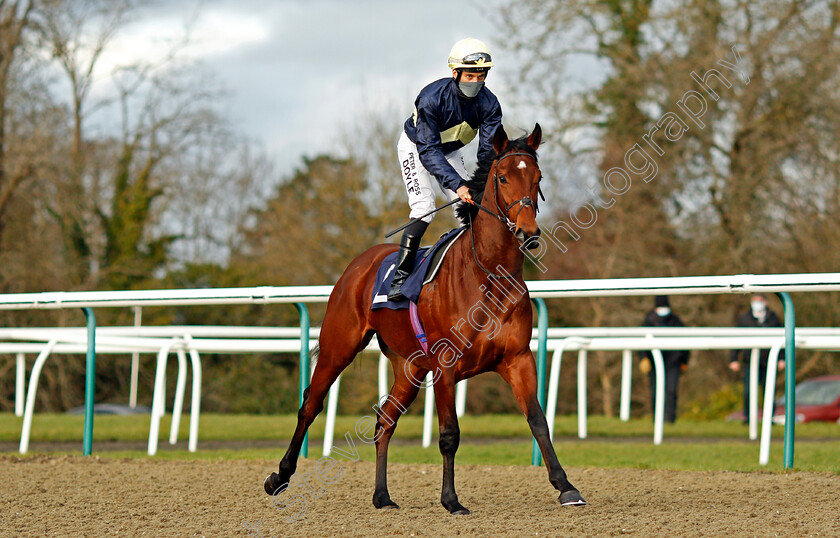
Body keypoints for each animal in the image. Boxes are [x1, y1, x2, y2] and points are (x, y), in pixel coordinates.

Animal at [266, 123, 588, 512]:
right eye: (503, 177)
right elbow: (449, 434)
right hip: (337, 347)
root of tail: (359, 263)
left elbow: (538, 421)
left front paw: (566, 486)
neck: (487, 275)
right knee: (310, 405)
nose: (529, 233)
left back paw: (382, 495)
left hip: (410, 367)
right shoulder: (446, 367)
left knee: (384, 420)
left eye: (538, 178)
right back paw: (280, 476)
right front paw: (451, 500)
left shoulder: (517, 358)